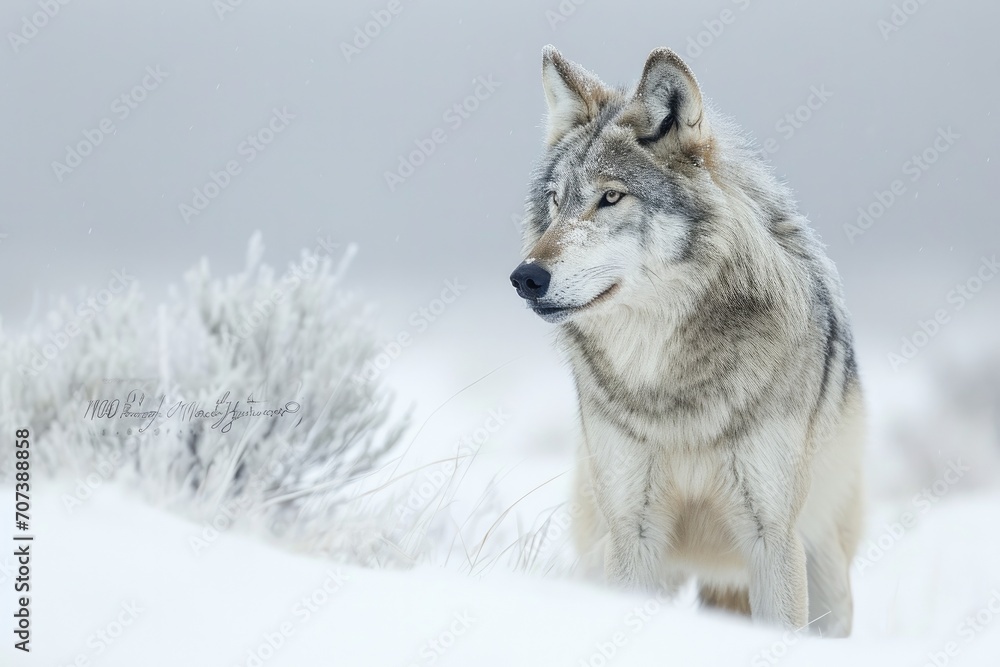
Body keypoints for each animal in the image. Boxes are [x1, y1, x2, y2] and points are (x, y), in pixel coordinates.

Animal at [509, 46, 864, 637]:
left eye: (611, 197)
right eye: (556, 203)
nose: (525, 277)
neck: (669, 387)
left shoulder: (771, 537)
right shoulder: (632, 531)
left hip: (827, 578)